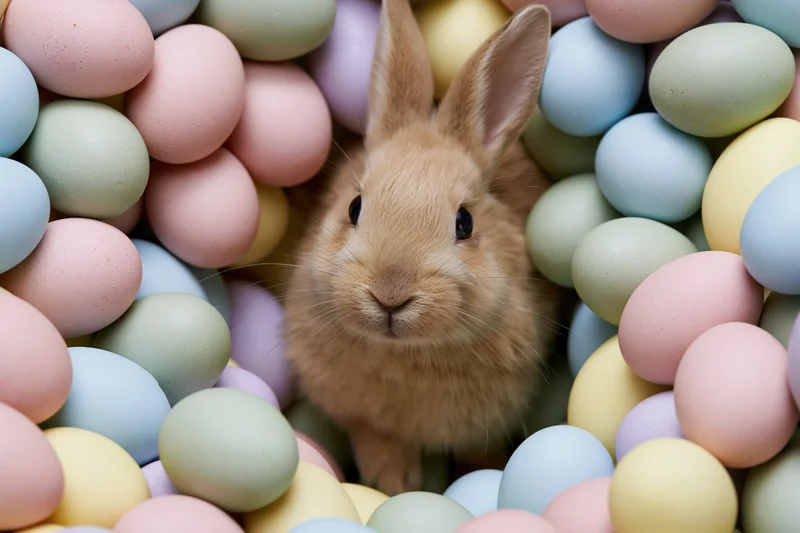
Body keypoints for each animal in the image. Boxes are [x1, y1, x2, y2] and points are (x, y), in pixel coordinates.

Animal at [283, 0, 565, 496]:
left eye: (464, 222)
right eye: (354, 207)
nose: (390, 295)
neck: (404, 353)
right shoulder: (358, 412)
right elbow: (374, 436)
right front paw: (392, 482)